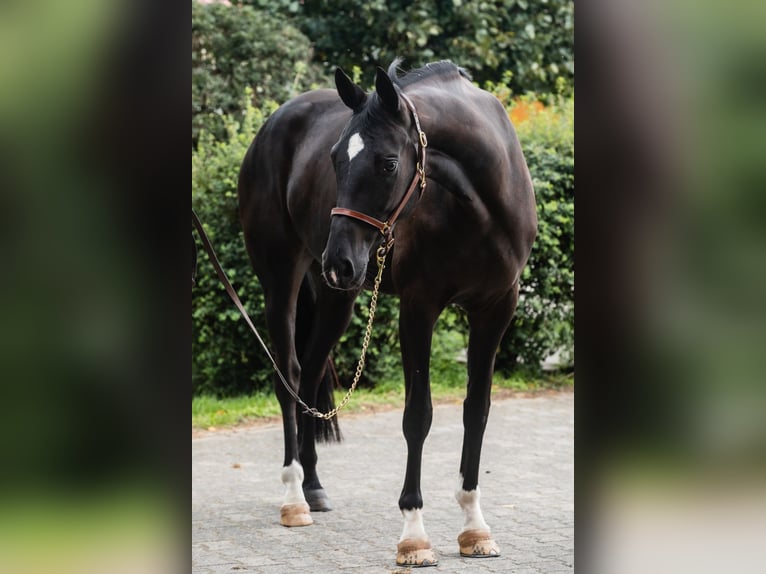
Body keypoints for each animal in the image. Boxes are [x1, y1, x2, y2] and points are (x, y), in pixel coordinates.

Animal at [237, 59, 536, 568]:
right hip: (282, 281)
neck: (481, 206)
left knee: (311, 377)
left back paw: (314, 487)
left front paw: (474, 527)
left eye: (388, 163)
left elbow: (476, 411)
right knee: (289, 377)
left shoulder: (496, 309)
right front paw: (414, 535)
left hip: (338, 297)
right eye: (334, 158)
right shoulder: (418, 309)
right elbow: (417, 416)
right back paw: (294, 497)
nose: (337, 261)